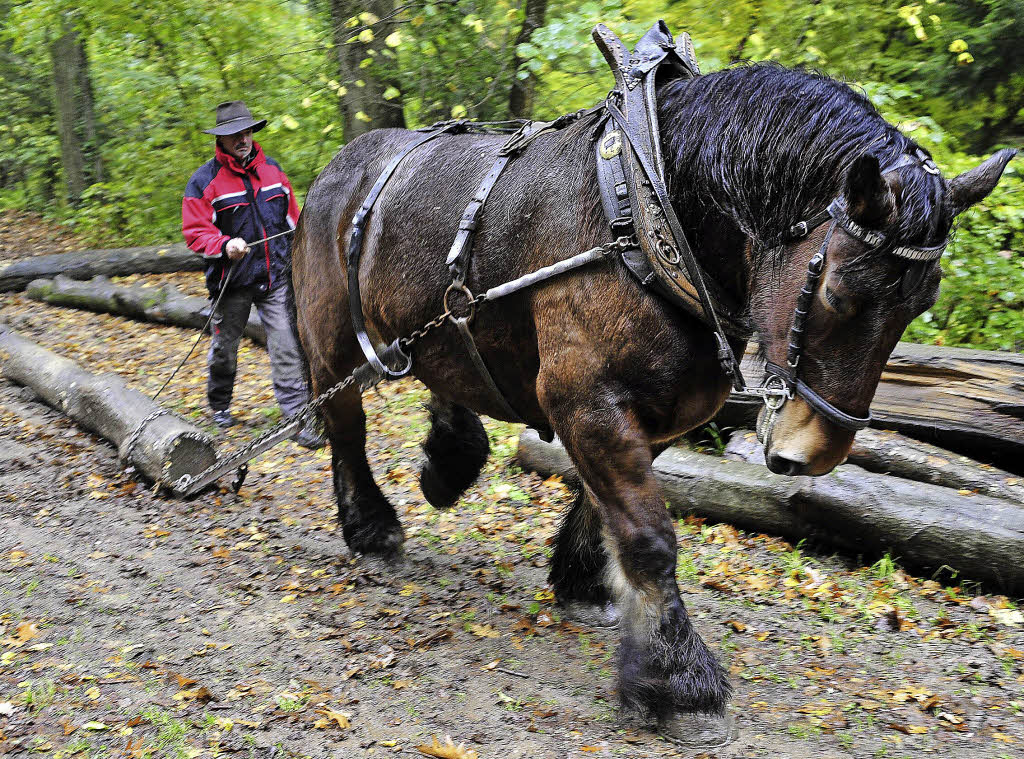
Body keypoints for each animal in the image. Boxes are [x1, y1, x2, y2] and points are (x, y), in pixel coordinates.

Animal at [290, 25, 1015, 729]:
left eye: (921, 302)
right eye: (838, 290)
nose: (812, 451)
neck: (646, 213)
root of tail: (337, 167)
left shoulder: (664, 406)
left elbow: (603, 505)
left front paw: (583, 581)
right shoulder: (585, 401)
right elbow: (648, 536)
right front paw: (678, 681)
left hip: (435, 318)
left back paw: (448, 461)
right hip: (329, 342)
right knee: (347, 430)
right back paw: (371, 527)